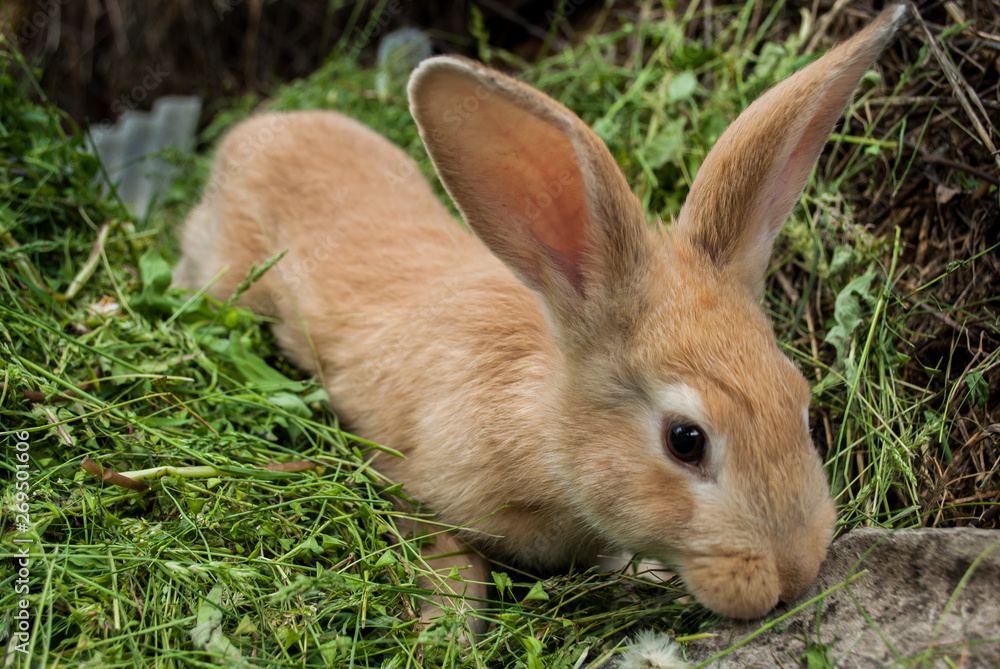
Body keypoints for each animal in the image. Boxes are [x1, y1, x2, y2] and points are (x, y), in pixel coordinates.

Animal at [174, 3, 908, 629]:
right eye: (685, 440)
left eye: (801, 405)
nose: (793, 574)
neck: (544, 428)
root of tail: (249, 134)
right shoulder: (423, 488)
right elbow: (451, 570)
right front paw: (444, 634)